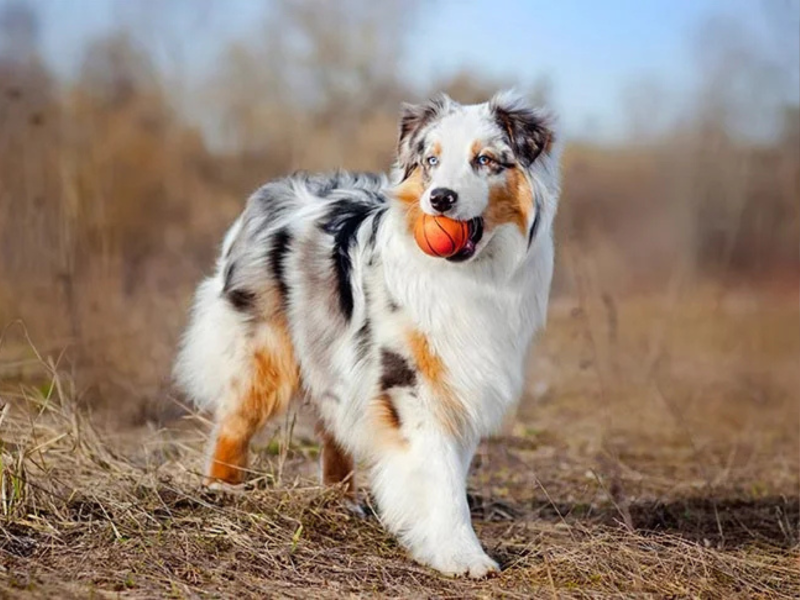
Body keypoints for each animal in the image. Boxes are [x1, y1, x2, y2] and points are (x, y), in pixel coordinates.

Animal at [175, 90, 564, 576]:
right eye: (432, 160)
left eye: (486, 160)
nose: (440, 199)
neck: (471, 275)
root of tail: (270, 192)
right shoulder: (408, 380)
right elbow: (439, 475)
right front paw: (462, 555)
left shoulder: (461, 379)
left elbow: (450, 469)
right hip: (266, 351)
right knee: (235, 420)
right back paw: (221, 488)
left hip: (332, 354)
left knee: (332, 425)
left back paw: (340, 500)